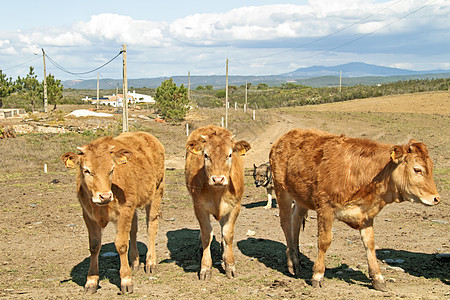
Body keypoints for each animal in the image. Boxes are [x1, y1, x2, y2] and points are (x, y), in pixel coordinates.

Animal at [60, 132, 164, 294]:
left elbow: (121, 244)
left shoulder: (124, 211)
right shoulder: (88, 215)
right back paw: (134, 261)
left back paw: (150, 262)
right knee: (133, 229)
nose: (105, 196)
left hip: (157, 191)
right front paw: (91, 281)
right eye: (86, 170)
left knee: (151, 226)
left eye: (111, 169)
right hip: (133, 206)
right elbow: (94, 245)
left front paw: (126, 280)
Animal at [185, 125, 251, 280]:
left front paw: (230, 265)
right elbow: (206, 234)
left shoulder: (235, 206)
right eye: (206, 155)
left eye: (230, 155)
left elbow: (228, 234)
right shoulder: (199, 207)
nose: (218, 179)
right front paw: (205, 268)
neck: (217, 193)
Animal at [268, 128, 442, 290]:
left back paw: (296, 260)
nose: (436, 198)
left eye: (432, 167)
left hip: (301, 198)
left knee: (296, 221)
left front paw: (378, 278)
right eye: (417, 169)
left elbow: (370, 244)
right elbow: (324, 241)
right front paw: (317, 275)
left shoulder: (366, 215)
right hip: (282, 190)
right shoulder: (325, 208)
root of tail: (286, 136)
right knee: (286, 222)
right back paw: (291, 262)